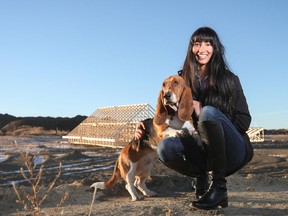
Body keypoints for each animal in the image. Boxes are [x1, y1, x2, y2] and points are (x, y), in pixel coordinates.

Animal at [89, 74, 195, 202]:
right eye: (164, 85)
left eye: (176, 82)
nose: (166, 96)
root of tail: (119, 157)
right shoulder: (161, 130)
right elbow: (170, 129)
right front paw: (178, 131)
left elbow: (187, 130)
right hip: (130, 170)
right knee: (129, 184)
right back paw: (135, 197)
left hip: (147, 168)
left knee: (139, 183)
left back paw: (148, 193)